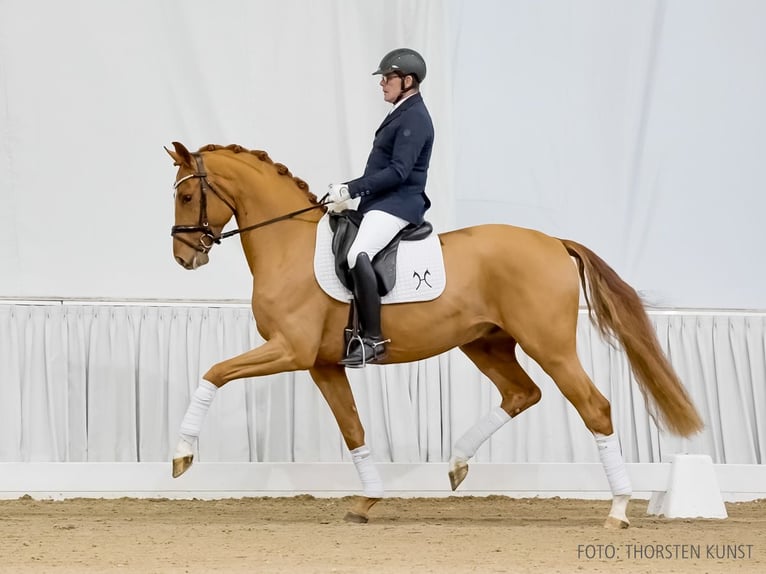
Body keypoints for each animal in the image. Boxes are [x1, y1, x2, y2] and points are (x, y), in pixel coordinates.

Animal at [165, 142, 704, 528]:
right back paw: (457, 462)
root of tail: (553, 241)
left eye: (187, 196)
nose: (184, 258)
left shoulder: (289, 351)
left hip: (549, 346)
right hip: (484, 342)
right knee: (521, 393)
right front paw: (367, 501)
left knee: (595, 407)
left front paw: (182, 455)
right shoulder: (322, 364)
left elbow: (213, 372)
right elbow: (354, 429)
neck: (289, 245)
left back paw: (618, 510)